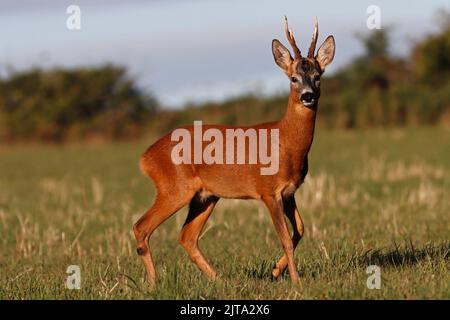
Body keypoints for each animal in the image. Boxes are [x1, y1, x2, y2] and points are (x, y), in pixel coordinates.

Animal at [133, 16, 334, 284]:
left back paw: (218, 280)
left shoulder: (289, 191)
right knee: (141, 226)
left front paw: (275, 269)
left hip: (205, 196)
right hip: (174, 188)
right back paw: (154, 283)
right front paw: (295, 281)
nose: (307, 96)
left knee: (187, 237)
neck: (286, 143)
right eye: (293, 78)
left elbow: (300, 230)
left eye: (317, 75)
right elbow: (284, 239)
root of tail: (146, 157)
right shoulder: (268, 191)